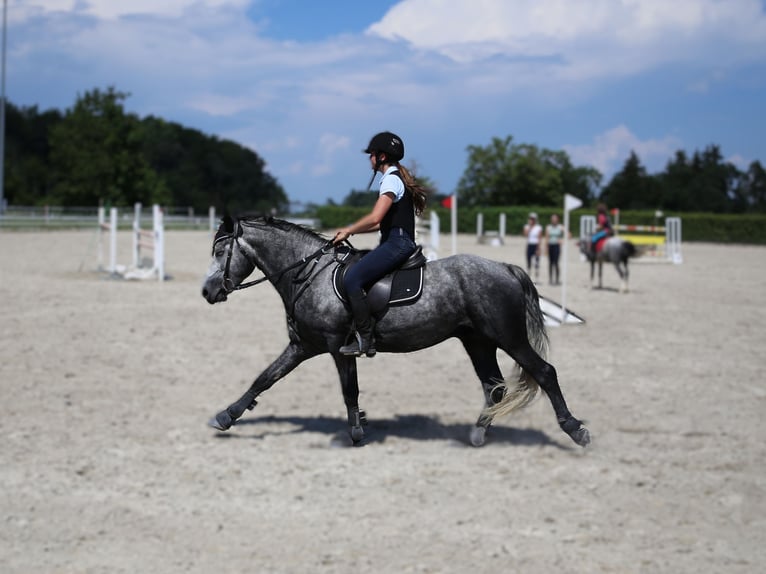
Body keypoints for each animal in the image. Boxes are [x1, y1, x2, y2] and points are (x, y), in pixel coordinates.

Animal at [201, 218, 592, 448]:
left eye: (220, 250)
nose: (207, 291)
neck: (308, 274)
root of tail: (506, 268)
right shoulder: (302, 345)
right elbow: (265, 378)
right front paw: (226, 416)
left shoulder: (335, 346)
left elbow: (349, 389)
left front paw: (356, 432)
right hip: (478, 342)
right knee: (494, 388)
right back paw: (478, 433)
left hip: (507, 337)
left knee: (544, 372)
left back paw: (575, 429)